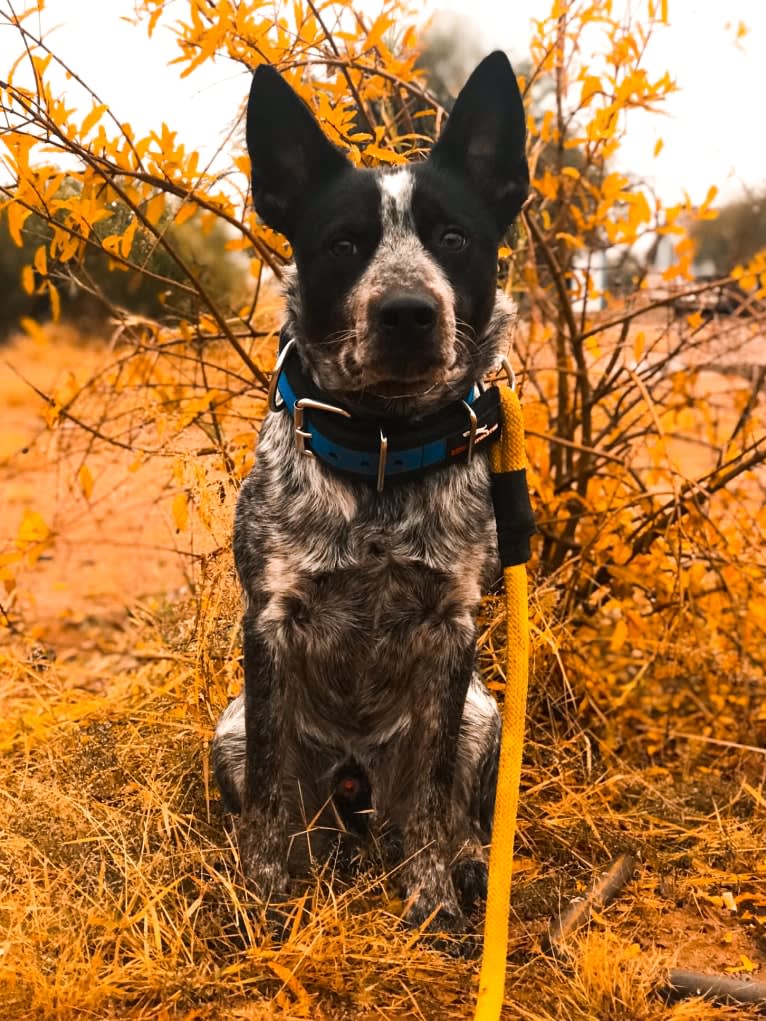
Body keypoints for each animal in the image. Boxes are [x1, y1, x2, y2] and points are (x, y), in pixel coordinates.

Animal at [213, 51, 531, 935]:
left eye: (454, 237)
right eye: (344, 244)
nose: (408, 312)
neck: (383, 450)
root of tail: (355, 779)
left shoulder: (451, 627)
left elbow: (430, 796)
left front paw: (433, 902)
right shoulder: (271, 623)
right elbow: (270, 800)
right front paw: (262, 900)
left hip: (483, 714)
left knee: (443, 808)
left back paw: (464, 864)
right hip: (228, 731)